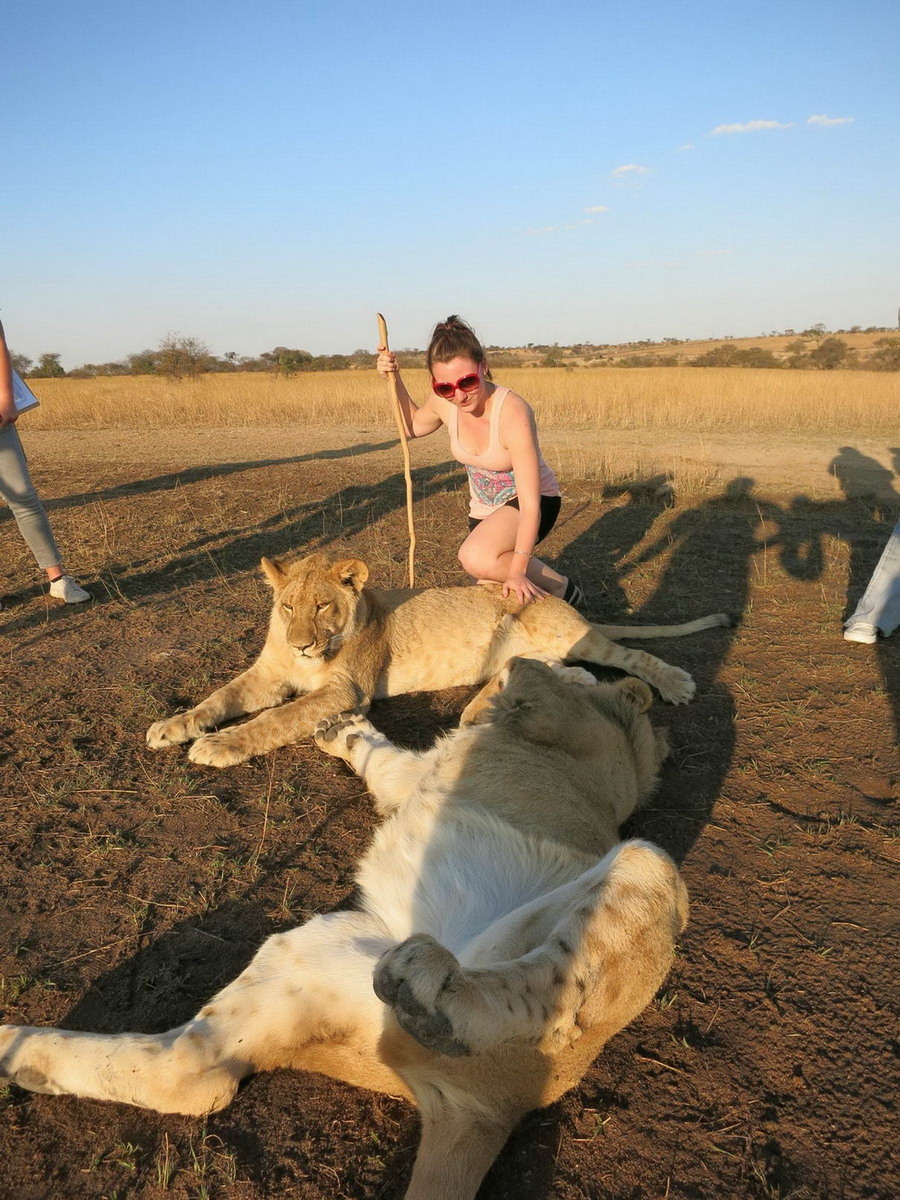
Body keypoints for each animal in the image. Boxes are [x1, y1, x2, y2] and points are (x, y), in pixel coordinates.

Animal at [1, 657, 691, 1200]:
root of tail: (503, 1110)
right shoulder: (418, 774)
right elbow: (387, 755)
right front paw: (342, 729)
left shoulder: (542, 709)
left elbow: (517, 672)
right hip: (302, 964)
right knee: (190, 1075)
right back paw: (17, 1050)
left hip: (645, 867)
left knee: (545, 988)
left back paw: (436, 992)